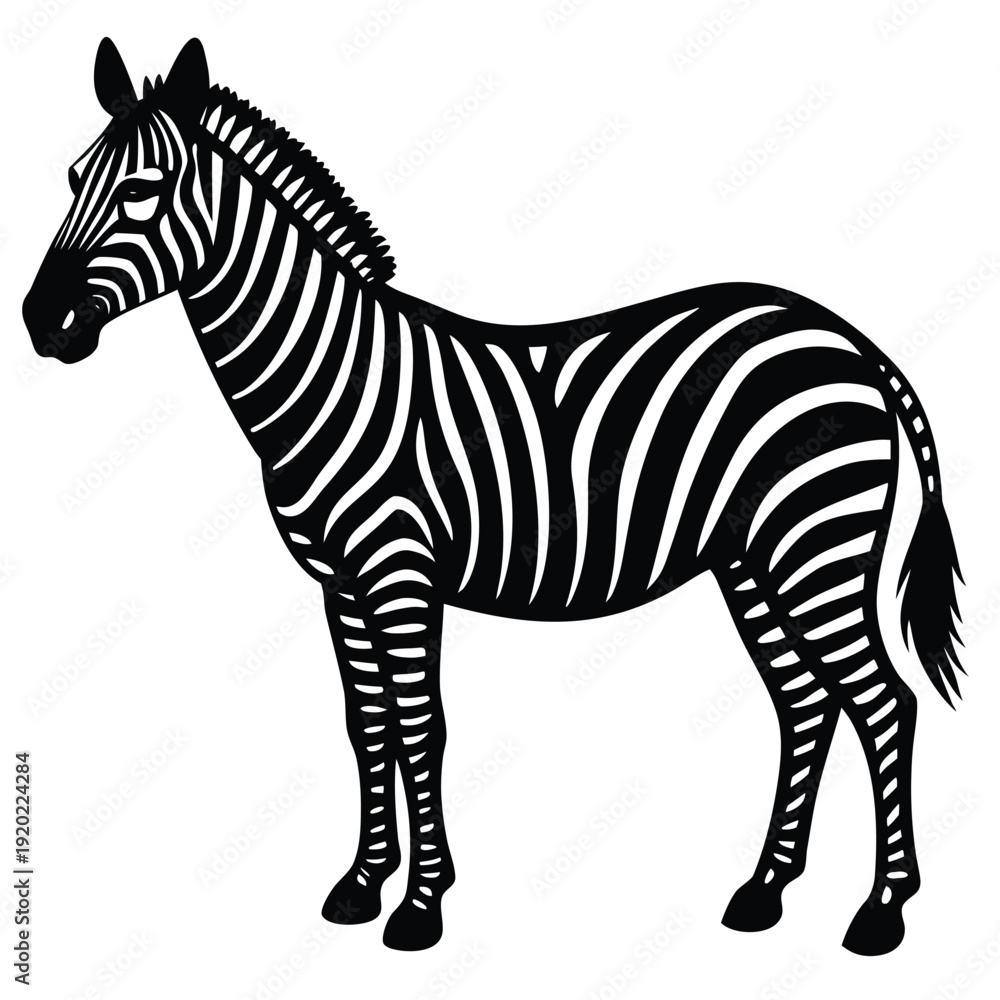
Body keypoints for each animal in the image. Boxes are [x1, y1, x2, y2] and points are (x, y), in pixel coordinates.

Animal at [22, 38, 966, 956]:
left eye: (141, 192)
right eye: (70, 178)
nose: (39, 323)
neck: (329, 376)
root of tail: (850, 339)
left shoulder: (399, 573)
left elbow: (419, 725)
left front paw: (419, 908)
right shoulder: (339, 585)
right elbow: (366, 728)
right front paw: (362, 884)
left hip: (815, 546)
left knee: (884, 702)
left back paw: (882, 912)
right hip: (753, 561)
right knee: (806, 705)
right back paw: (764, 891)